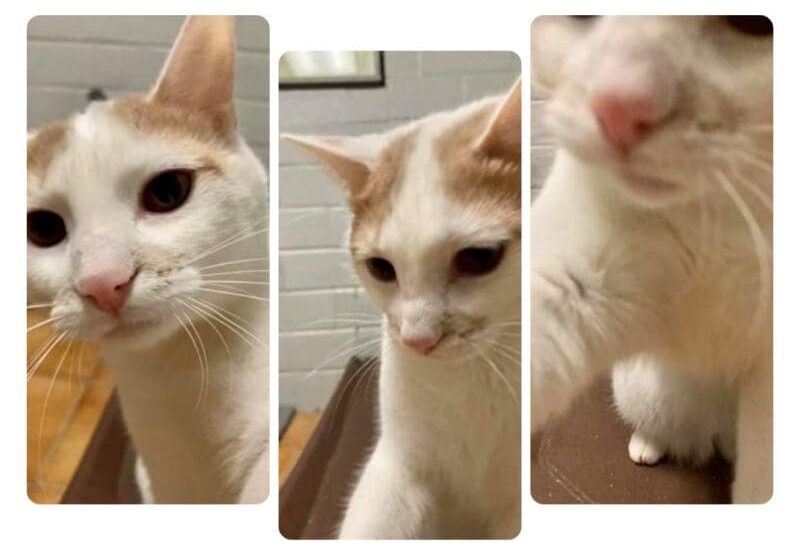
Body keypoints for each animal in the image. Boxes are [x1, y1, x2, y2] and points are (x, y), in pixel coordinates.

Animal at [528, 16, 772, 504]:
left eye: (755, 22)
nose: (619, 109)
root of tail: (714, 433)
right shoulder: (574, 270)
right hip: (641, 389)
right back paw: (647, 445)